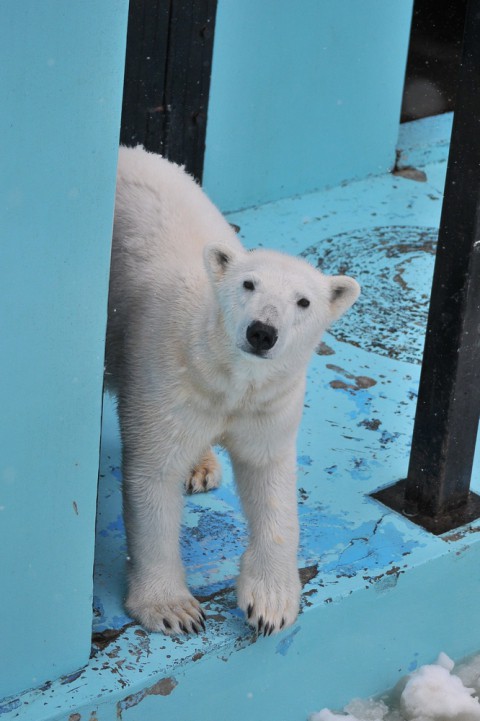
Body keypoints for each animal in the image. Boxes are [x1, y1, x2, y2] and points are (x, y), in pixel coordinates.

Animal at [106, 146, 360, 636]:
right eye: (248, 283)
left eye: (303, 301)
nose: (263, 331)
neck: (224, 375)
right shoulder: (165, 381)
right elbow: (153, 476)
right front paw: (173, 609)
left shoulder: (267, 402)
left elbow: (270, 478)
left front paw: (271, 603)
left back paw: (201, 466)